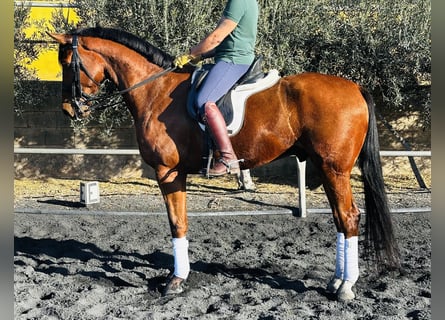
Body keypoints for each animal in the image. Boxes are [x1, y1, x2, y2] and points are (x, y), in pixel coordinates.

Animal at [47, 26, 398, 300]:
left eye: (67, 62)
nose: (68, 109)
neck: (154, 88)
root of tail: (355, 87)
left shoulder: (168, 172)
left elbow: (177, 223)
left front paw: (176, 280)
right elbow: (179, 223)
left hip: (334, 168)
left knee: (349, 217)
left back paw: (346, 287)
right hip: (325, 168)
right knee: (340, 219)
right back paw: (336, 281)